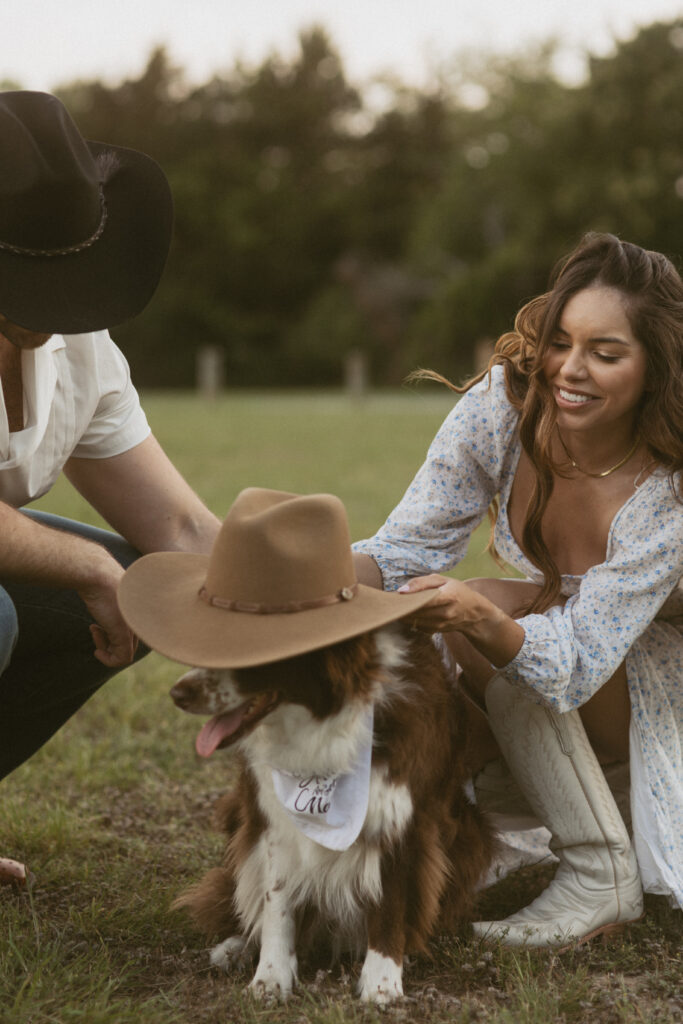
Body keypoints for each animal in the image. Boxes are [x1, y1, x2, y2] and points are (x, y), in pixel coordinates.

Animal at [168, 618, 493, 1003]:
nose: (177, 694)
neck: (323, 725)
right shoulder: (275, 822)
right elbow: (277, 902)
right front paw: (271, 977)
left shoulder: (402, 820)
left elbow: (390, 904)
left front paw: (382, 983)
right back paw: (235, 947)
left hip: (469, 835)